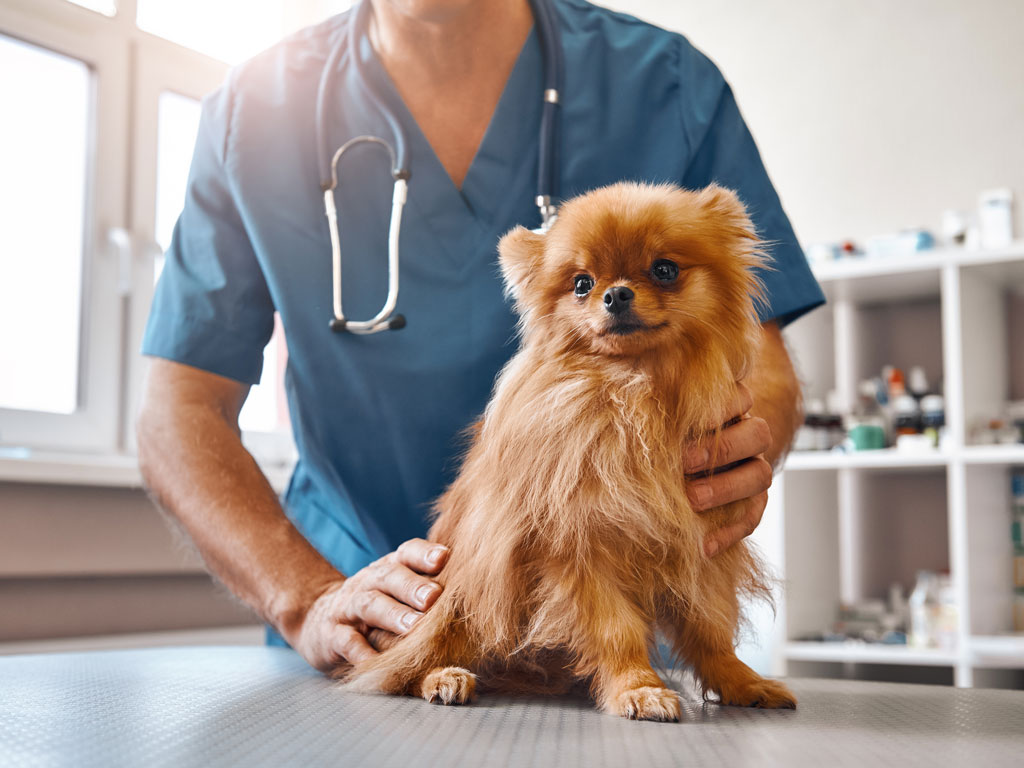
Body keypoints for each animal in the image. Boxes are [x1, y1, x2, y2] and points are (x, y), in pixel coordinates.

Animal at [344, 180, 798, 720]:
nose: (616, 293)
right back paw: (445, 677)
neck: (634, 391)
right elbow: (616, 631)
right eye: (581, 284)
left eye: (664, 269)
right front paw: (637, 688)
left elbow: (710, 630)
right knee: (409, 663)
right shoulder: (577, 551)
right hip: (459, 593)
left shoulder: (702, 548)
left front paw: (741, 680)